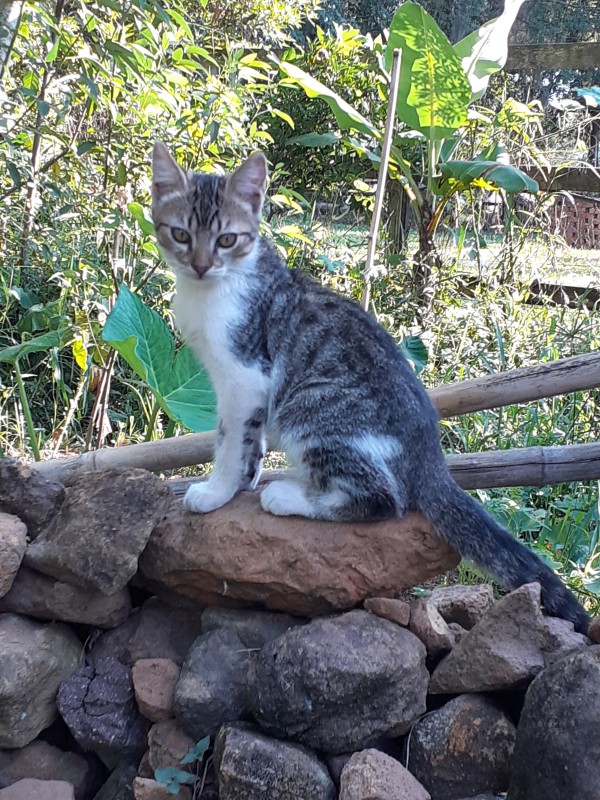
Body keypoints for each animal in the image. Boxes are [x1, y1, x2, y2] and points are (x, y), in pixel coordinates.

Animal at [151, 141, 592, 636]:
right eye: (181, 234)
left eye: (227, 239)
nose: (200, 265)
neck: (217, 288)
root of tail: (431, 459)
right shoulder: (251, 390)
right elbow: (250, 439)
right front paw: (246, 476)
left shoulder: (244, 374)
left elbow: (230, 440)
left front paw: (216, 491)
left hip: (310, 405)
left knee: (384, 499)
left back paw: (290, 497)